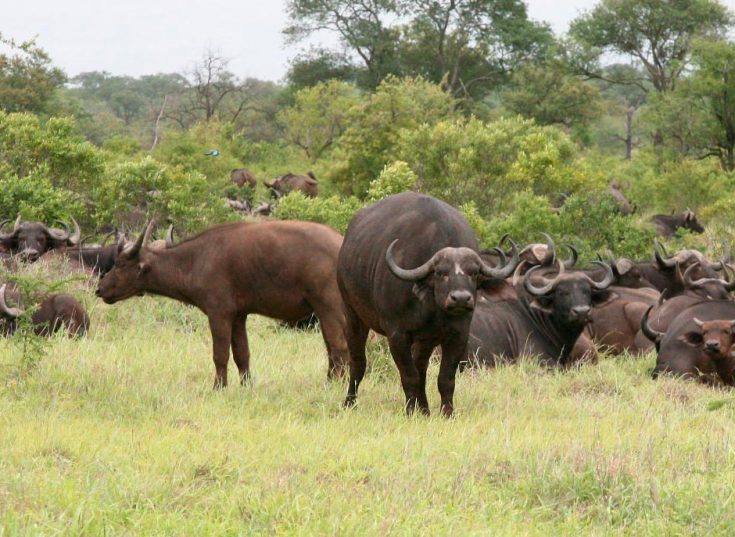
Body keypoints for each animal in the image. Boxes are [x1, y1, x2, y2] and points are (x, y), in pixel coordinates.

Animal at [98, 218, 350, 386]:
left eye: (120, 264)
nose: (100, 289)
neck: (195, 260)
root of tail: (340, 244)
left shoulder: (219, 313)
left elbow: (220, 354)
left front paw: (218, 387)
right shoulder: (239, 316)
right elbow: (242, 354)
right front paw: (246, 386)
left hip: (328, 308)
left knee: (339, 348)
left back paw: (333, 386)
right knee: (333, 349)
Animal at [334, 191, 516, 416]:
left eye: (474, 273)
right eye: (440, 273)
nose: (461, 298)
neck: (432, 308)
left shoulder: (458, 334)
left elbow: (445, 378)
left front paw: (446, 413)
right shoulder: (397, 335)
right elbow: (409, 376)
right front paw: (410, 410)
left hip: (425, 339)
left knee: (421, 367)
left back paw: (425, 409)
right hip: (352, 314)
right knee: (358, 361)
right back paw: (350, 402)